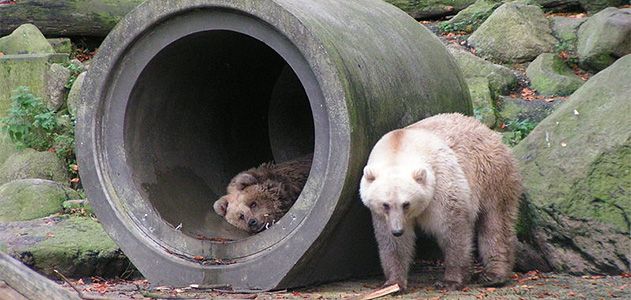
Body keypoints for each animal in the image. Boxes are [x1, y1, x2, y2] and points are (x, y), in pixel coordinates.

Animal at [360, 112, 524, 290]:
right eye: (385, 205)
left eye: (406, 204)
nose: (397, 230)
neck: (399, 147)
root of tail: (489, 131)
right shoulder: (381, 215)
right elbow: (393, 243)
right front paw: (394, 283)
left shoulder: (441, 183)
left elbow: (452, 230)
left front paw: (450, 281)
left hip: (491, 174)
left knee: (495, 222)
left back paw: (494, 275)